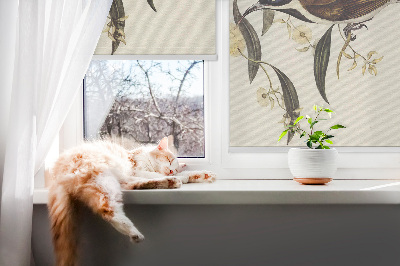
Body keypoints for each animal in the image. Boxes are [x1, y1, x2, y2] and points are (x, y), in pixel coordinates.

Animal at [48, 137, 217, 266]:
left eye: (174, 167)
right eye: (169, 160)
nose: (171, 171)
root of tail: (56, 172)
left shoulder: (134, 174)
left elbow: (185, 174)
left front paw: (202, 175)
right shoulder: (136, 170)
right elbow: (154, 174)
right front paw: (183, 176)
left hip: (114, 181)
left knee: (133, 186)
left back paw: (170, 182)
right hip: (103, 178)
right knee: (107, 209)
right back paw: (134, 232)